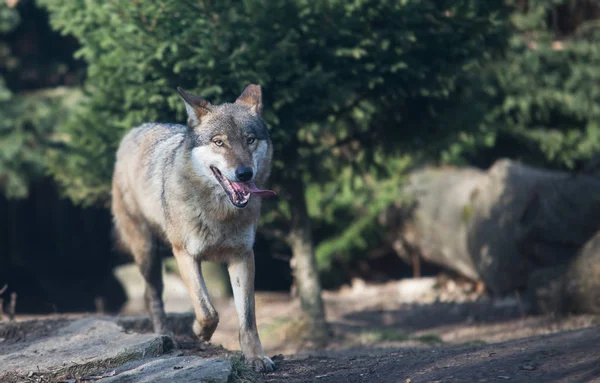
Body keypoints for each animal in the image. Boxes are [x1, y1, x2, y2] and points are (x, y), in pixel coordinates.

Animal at [111, 84, 276, 372]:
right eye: (219, 142)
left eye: (250, 140)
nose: (244, 173)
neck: (219, 213)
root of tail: (134, 131)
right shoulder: (184, 254)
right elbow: (207, 310)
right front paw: (200, 331)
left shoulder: (243, 256)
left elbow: (247, 318)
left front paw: (255, 357)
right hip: (148, 254)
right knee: (152, 296)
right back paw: (166, 336)